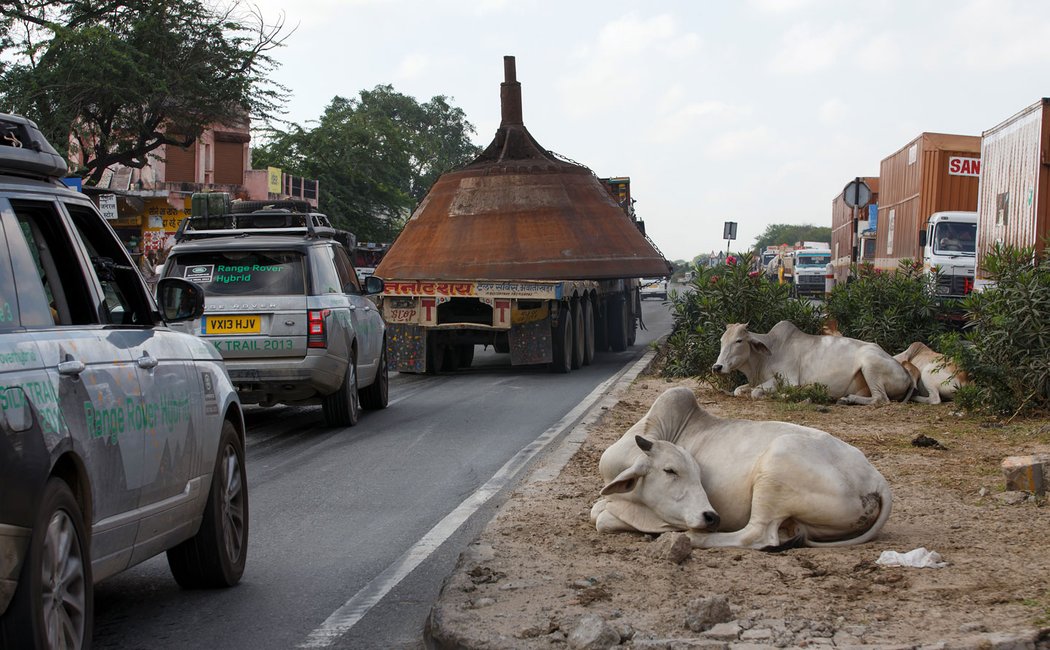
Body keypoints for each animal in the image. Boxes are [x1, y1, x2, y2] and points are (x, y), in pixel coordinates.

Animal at [592, 386, 894, 550]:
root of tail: (876, 480)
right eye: (670, 471)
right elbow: (597, 510)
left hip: (775, 466)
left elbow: (602, 518)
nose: (711, 518)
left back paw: (692, 538)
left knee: (756, 535)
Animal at [709, 321, 915, 407]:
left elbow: (756, 392)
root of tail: (907, 374)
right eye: (721, 340)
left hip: (869, 364)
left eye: (739, 341)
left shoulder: (789, 380)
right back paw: (843, 398)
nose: (717, 367)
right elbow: (739, 390)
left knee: (881, 399)